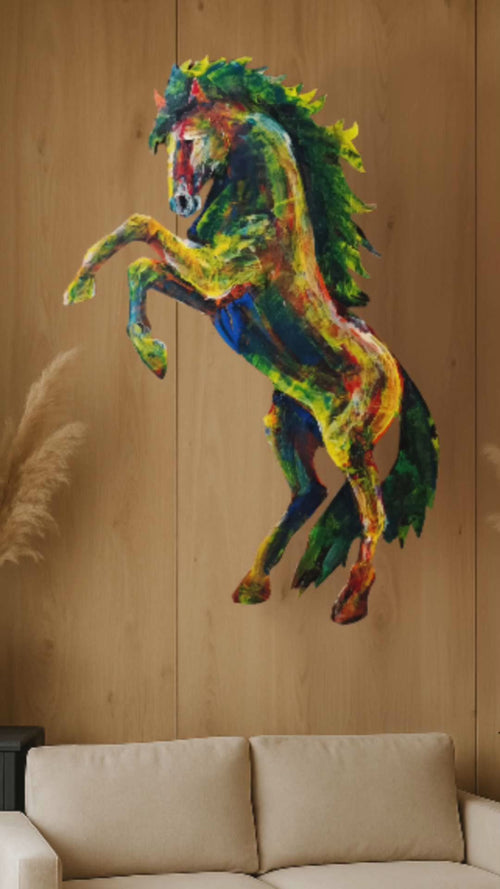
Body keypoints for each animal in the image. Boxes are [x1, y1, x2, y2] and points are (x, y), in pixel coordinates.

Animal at [64, 57, 438, 625]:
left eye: (189, 139)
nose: (181, 200)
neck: (265, 209)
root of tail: (394, 371)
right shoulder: (214, 298)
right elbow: (143, 268)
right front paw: (149, 351)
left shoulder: (216, 275)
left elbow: (140, 231)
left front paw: (105, 310)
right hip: (285, 425)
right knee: (310, 493)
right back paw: (253, 583)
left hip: (346, 441)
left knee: (372, 513)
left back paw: (350, 602)